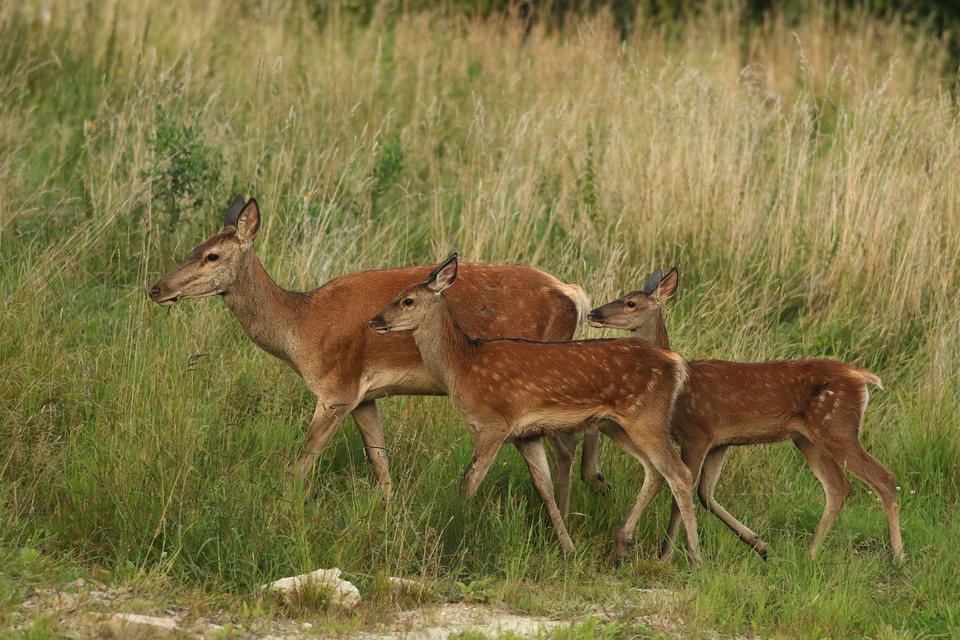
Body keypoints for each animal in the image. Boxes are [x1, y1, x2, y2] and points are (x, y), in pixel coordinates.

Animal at [147, 194, 604, 504]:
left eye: (212, 255)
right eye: (192, 248)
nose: (157, 289)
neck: (301, 327)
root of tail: (573, 295)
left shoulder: (335, 389)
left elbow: (302, 463)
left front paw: (283, 511)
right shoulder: (365, 395)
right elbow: (380, 462)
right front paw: (387, 512)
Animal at [366, 252, 696, 564]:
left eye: (407, 300)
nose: (374, 321)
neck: (463, 367)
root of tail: (676, 363)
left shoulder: (495, 422)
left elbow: (469, 481)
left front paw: (457, 531)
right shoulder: (526, 434)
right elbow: (543, 488)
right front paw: (567, 548)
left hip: (646, 417)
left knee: (680, 472)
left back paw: (691, 555)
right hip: (618, 424)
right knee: (655, 471)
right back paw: (625, 544)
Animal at [588, 268, 904, 564]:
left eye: (630, 303)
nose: (594, 313)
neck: (681, 385)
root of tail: (863, 378)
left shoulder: (697, 432)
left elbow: (682, 491)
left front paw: (667, 554)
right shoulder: (720, 442)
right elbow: (705, 493)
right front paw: (759, 544)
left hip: (837, 427)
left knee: (883, 478)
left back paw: (898, 557)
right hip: (807, 438)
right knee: (839, 487)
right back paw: (810, 553)